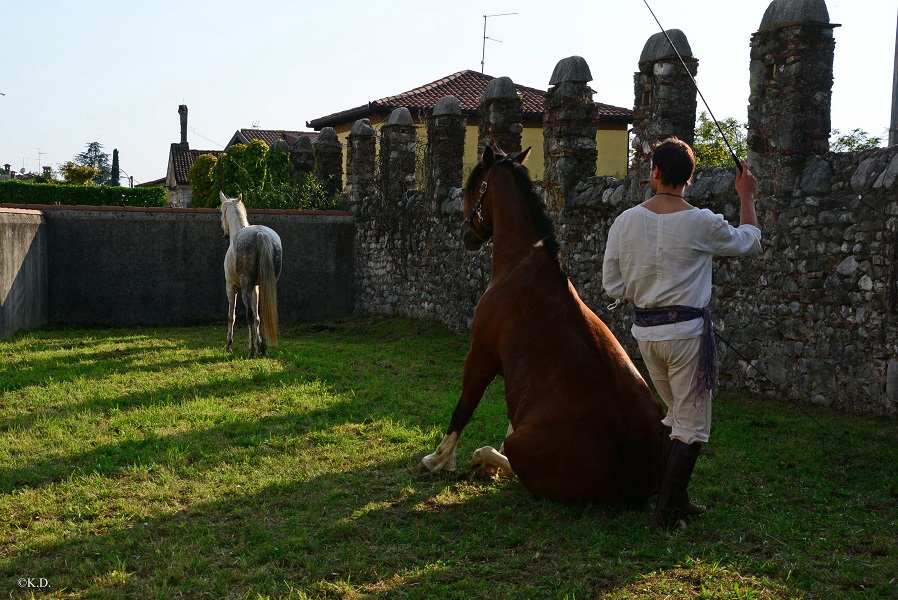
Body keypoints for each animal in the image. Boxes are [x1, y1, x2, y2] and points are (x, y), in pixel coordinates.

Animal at [219, 192, 282, 358]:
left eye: (221, 213)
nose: (225, 233)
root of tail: (260, 234)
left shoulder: (231, 287)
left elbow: (232, 316)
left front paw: (228, 344)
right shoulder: (256, 287)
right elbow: (258, 318)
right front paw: (259, 344)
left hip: (245, 286)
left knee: (249, 315)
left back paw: (251, 351)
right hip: (267, 285)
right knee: (264, 314)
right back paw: (262, 348)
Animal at [420, 148, 664, 504]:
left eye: (474, 187)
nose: (466, 233)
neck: (523, 264)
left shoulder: (481, 355)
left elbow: (463, 408)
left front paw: (438, 459)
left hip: (521, 449)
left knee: (502, 456)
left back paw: (484, 461)